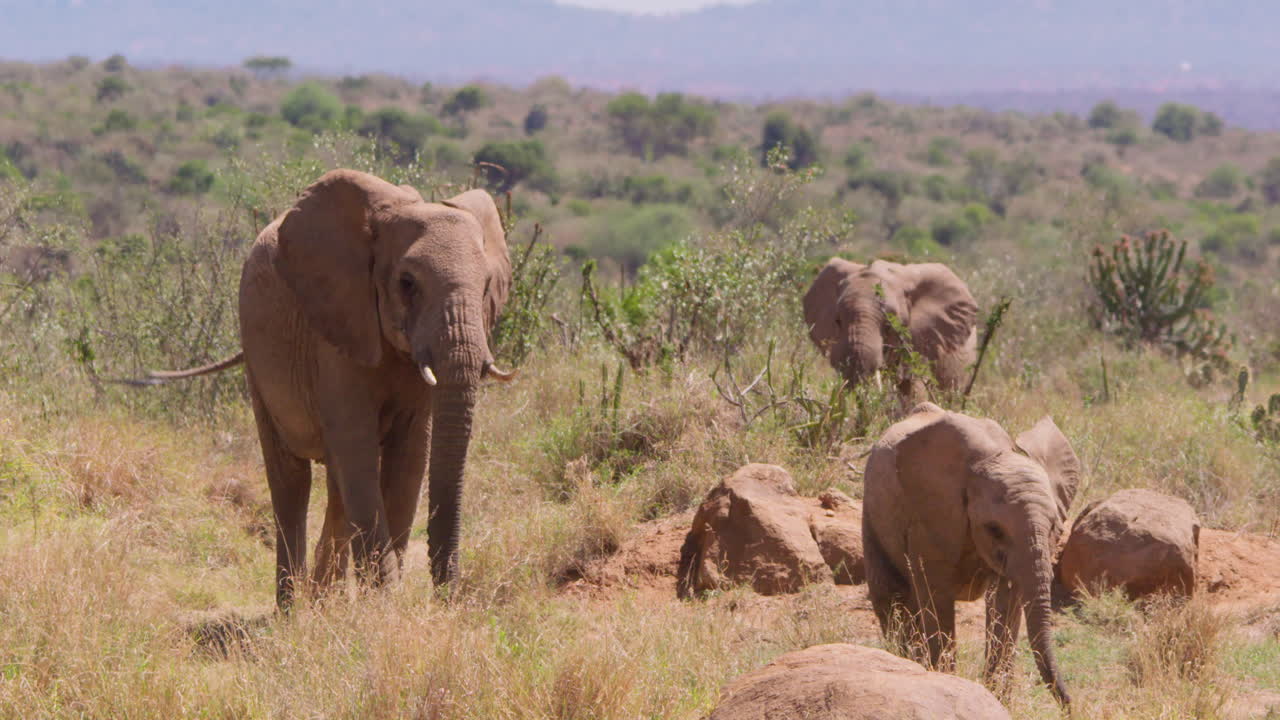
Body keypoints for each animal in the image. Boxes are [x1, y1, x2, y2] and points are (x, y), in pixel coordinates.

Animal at [140, 169, 513, 609]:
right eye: (407, 283)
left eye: (487, 286)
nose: (448, 599)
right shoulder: (335, 330)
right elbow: (359, 453)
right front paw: (382, 605)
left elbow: (409, 459)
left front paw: (378, 603)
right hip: (257, 359)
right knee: (291, 481)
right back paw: (292, 610)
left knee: (336, 485)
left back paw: (323, 602)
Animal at [862, 402, 1080, 706]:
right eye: (994, 529)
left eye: (1053, 527)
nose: (1071, 706)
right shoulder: (929, 517)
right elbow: (936, 597)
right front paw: (945, 684)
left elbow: (1005, 604)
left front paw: (998, 700)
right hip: (872, 513)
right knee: (891, 597)